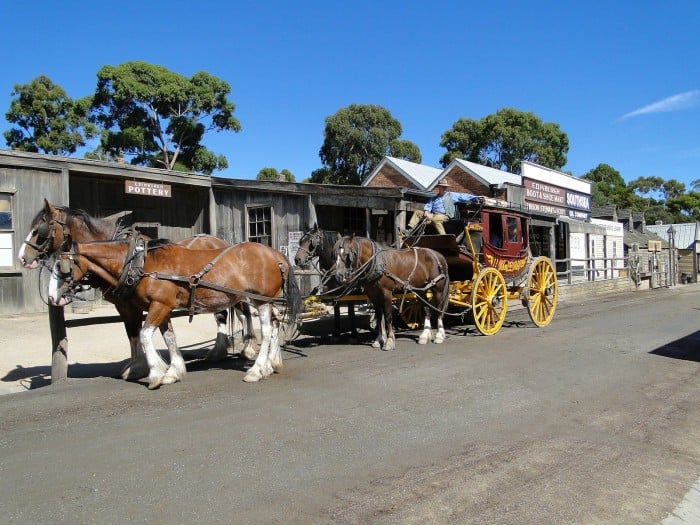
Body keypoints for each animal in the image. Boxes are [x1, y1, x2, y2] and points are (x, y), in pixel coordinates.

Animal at [18, 199, 258, 378]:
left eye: (39, 229)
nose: (22, 258)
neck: (127, 258)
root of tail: (222, 242)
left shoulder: (129, 305)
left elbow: (135, 332)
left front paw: (142, 368)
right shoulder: (128, 305)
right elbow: (134, 334)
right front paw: (148, 366)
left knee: (243, 312)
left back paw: (247, 347)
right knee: (224, 315)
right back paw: (219, 351)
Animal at [46, 239, 304, 386]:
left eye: (61, 265)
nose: (51, 298)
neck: (142, 265)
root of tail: (275, 254)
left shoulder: (159, 305)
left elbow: (144, 335)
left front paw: (155, 374)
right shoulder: (163, 307)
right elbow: (169, 337)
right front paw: (173, 371)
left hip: (261, 300)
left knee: (268, 331)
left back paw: (257, 370)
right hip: (265, 301)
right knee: (274, 326)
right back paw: (271, 364)